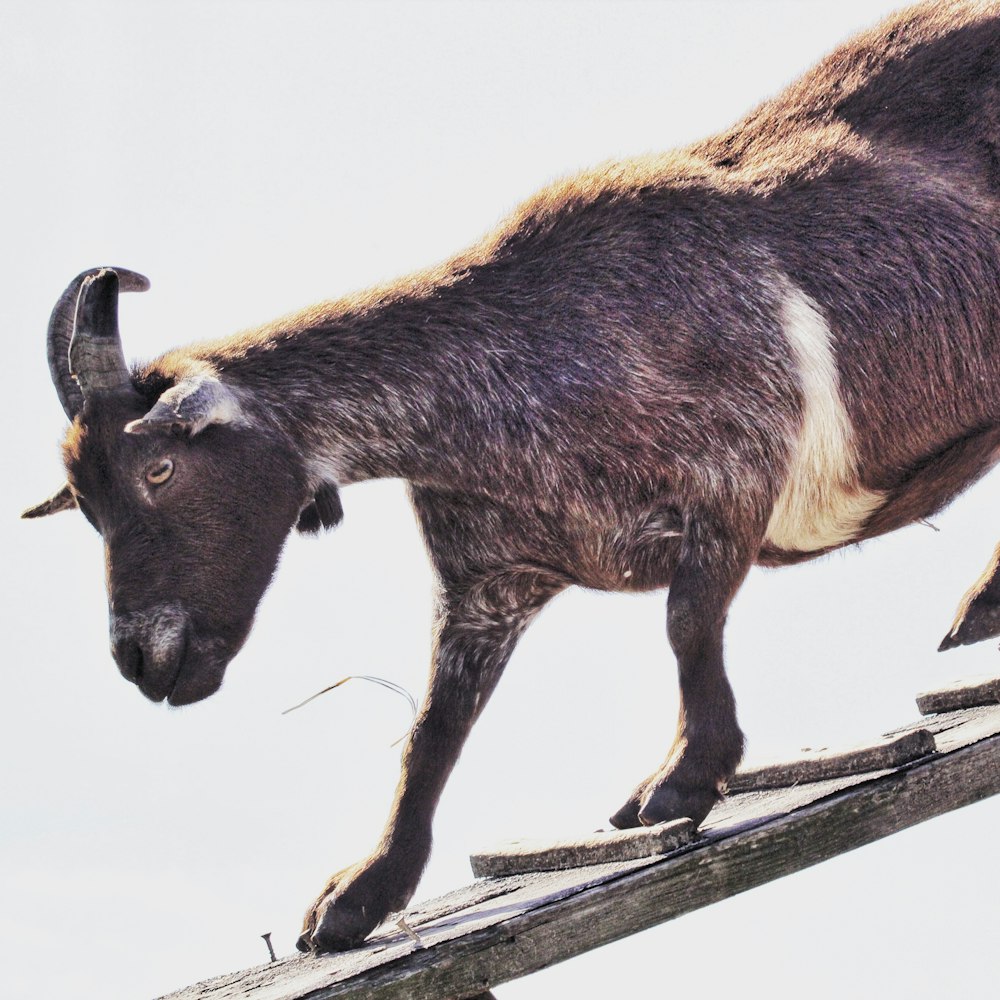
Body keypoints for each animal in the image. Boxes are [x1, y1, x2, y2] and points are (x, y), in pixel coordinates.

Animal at [25, 0, 1000, 952]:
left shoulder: (733, 481)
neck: (523, 365)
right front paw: (355, 898)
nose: (142, 660)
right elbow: (431, 729)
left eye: (158, 468)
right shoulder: (486, 581)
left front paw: (679, 781)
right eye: (85, 507)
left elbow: (686, 624)